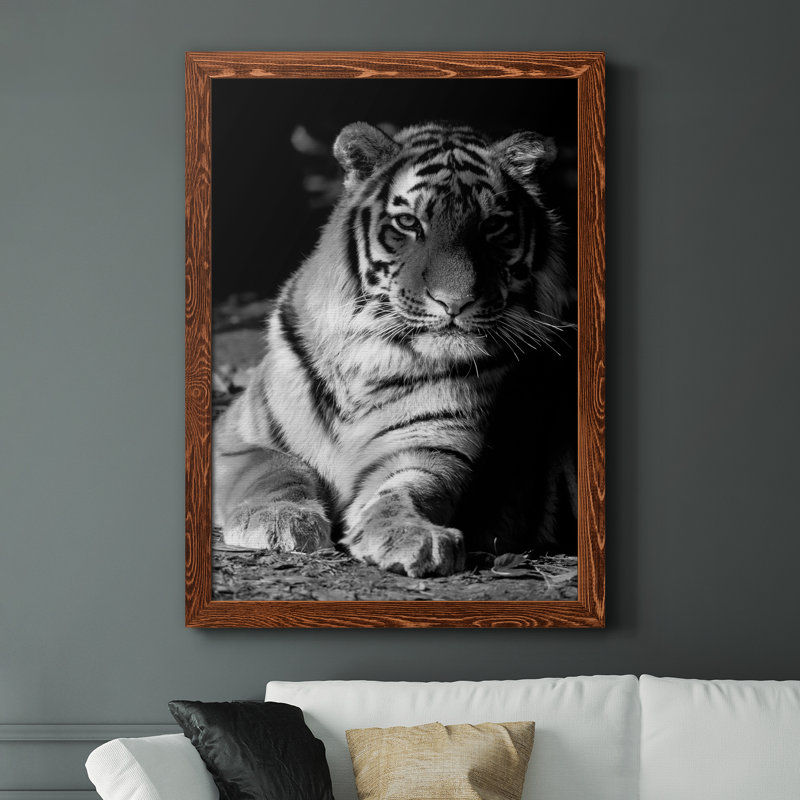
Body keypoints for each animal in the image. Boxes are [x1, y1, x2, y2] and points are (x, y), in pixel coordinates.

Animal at [213, 120, 575, 579]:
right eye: (408, 222)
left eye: (493, 226)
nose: (456, 302)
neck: (371, 357)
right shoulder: (236, 436)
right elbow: (276, 468)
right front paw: (280, 520)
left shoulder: (431, 449)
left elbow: (406, 491)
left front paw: (413, 536)